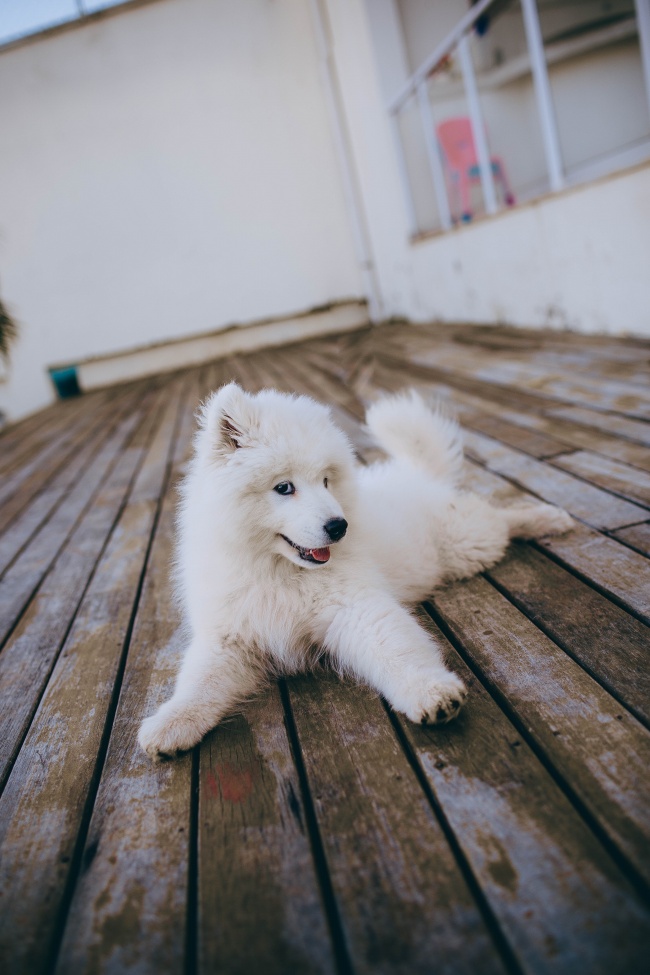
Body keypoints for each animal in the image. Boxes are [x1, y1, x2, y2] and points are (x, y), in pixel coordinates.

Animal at [138, 384, 572, 764]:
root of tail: (419, 477)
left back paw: (548, 518)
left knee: (501, 520)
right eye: (284, 487)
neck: (280, 572)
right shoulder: (229, 638)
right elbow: (198, 684)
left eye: (326, 481)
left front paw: (430, 692)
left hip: (466, 542)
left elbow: (397, 650)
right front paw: (171, 724)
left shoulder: (357, 609)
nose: (339, 526)